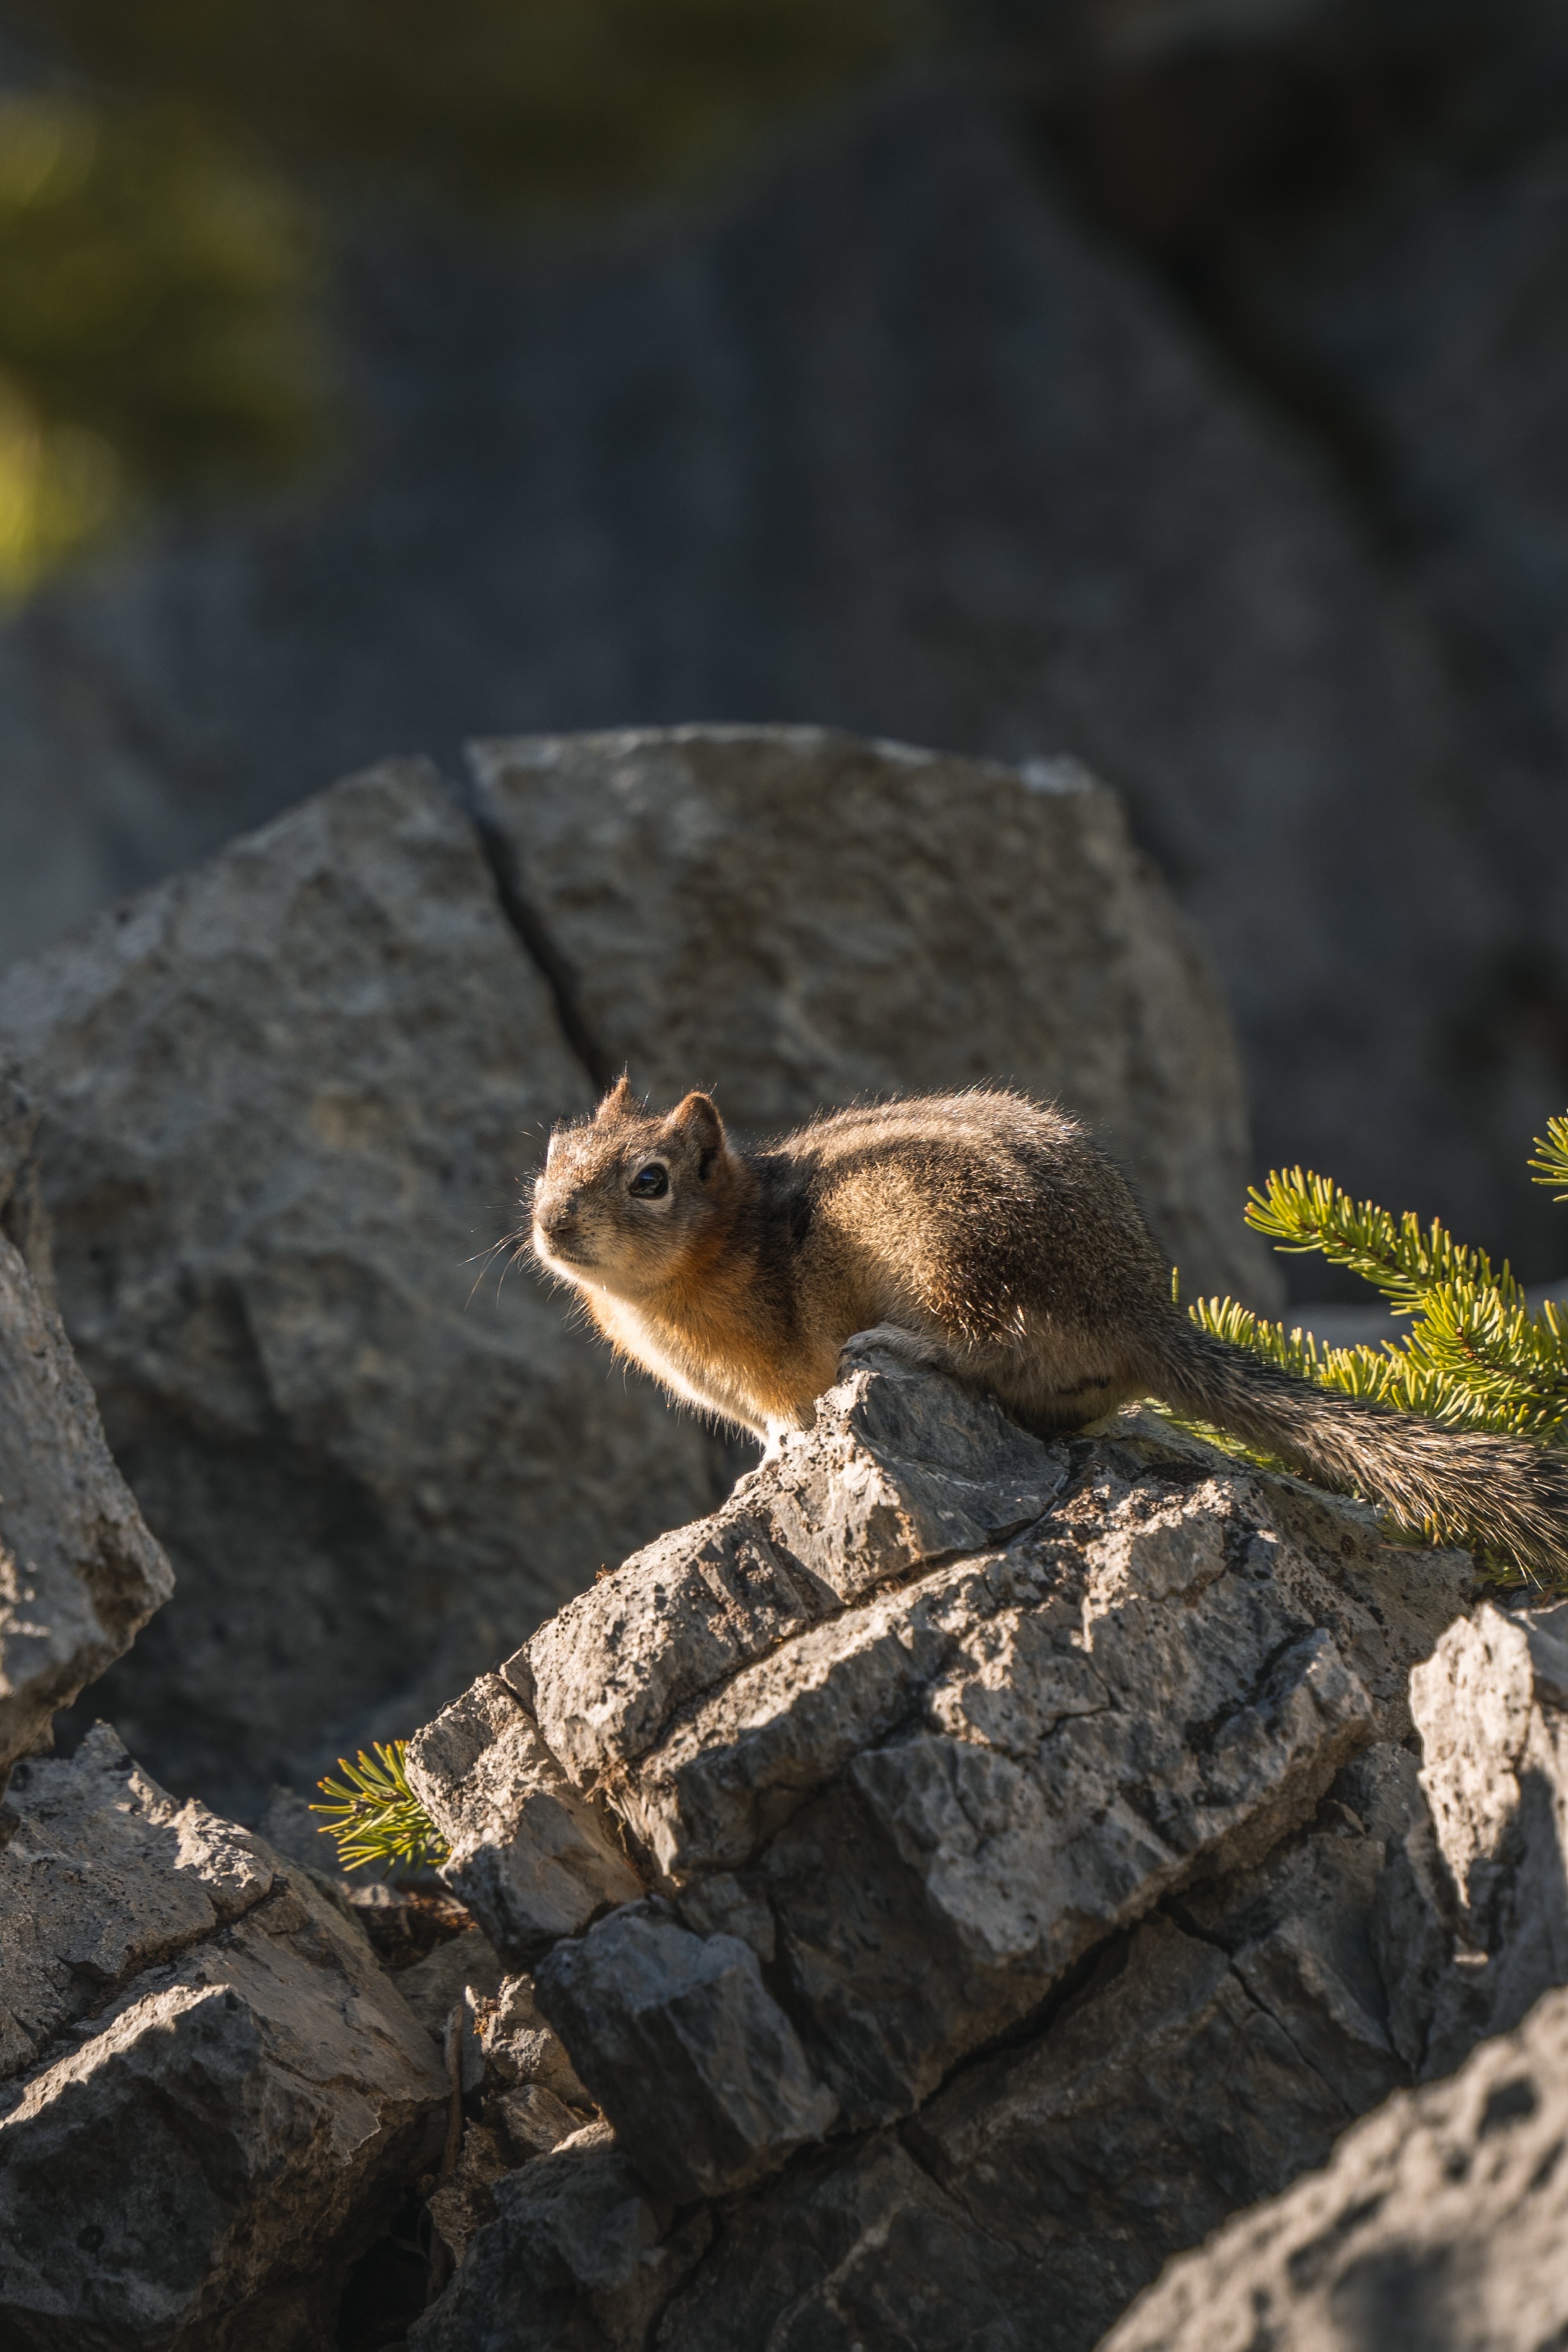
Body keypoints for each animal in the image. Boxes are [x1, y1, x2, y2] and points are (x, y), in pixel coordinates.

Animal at [531, 1077, 1568, 1561]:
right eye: (551, 1151)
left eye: (650, 1180)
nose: (549, 1222)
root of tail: (1137, 1308)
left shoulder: (768, 1370)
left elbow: (785, 1417)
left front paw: (777, 1459)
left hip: (952, 1255)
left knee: (987, 1341)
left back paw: (894, 1343)